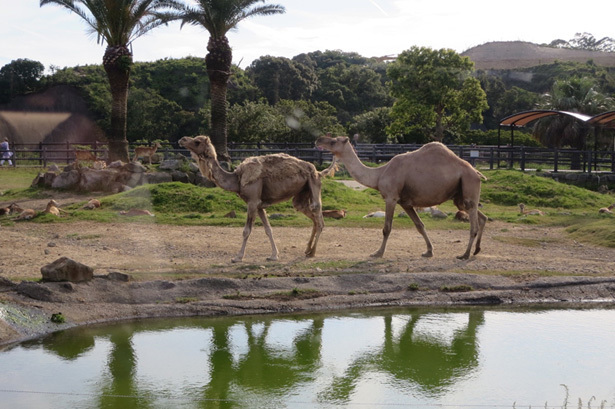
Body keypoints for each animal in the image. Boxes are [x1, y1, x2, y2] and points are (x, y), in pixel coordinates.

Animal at [180, 134, 340, 262]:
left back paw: (312, 252)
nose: (182, 140)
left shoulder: (252, 202)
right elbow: (268, 229)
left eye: (197, 142)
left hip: (314, 183)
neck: (237, 179)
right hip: (302, 193)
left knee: (319, 217)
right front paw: (274, 255)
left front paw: (238, 257)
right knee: (310, 215)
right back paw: (307, 250)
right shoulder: (259, 205)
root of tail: (318, 171)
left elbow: (246, 230)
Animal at [316, 135, 488, 260]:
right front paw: (429, 251)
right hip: (460, 196)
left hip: (469, 183)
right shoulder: (405, 203)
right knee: (481, 216)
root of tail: (477, 172)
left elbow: (386, 228)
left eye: (333, 141)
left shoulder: (391, 198)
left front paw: (377, 253)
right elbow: (420, 226)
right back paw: (477, 250)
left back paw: (464, 254)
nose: (318, 140)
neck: (379, 175)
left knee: (473, 224)